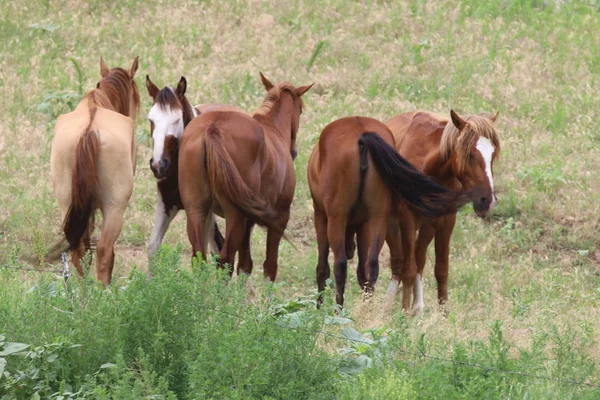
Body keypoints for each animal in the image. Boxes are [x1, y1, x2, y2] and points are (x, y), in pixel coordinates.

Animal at [178, 73, 312, 280]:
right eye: (301, 110)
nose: (294, 152)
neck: (271, 128)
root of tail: (213, 128)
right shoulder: (279, 218)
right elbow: (269, 266)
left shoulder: (248, 221)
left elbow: (245, 265)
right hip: (235, 217)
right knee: (225, 259)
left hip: (196, 211)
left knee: (199, 258)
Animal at [308, 115, 472, 306]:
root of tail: (362, 135)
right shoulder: (365, 224)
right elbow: (363, 271)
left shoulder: (321, 216)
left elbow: (322, 268)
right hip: (378, 217)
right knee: (372, 265)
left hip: (337, 218)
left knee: (340, 265)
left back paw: (338, 309)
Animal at [384, 110, 502, 316]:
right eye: (470, 154)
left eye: (493, 153)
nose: (487, 200)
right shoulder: (408, 219)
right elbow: (409, 268)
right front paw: (404, 311)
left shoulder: (445, 221)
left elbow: (441, 269)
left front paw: (444, 314)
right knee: (399, 262)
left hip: (427, 226)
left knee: (418, 258)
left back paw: (418, 307)